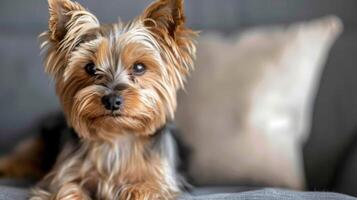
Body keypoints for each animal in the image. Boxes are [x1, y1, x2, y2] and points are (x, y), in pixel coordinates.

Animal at [0, 0, 196, 198]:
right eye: (90, 68)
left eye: (139, 67)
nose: (112, 101)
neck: (116, 137)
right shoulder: (62, 176)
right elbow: (66, 189)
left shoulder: (161, 180)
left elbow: (144, 189)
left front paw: (130, 191)